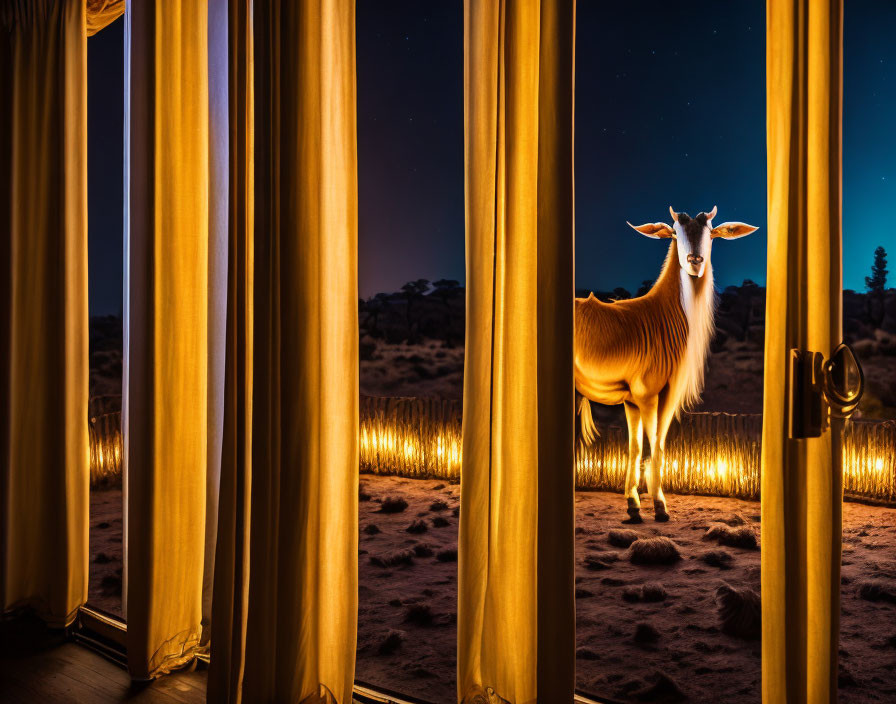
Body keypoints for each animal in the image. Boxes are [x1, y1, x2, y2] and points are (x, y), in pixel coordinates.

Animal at [576, 205, 760, 524]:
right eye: (675, 231)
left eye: (710, 231)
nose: (695, 260)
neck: (659, 314)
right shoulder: (653, 395)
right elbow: (656, 444)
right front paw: (660, 507)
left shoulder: (634, 400)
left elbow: (636, 446)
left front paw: (633, 506)